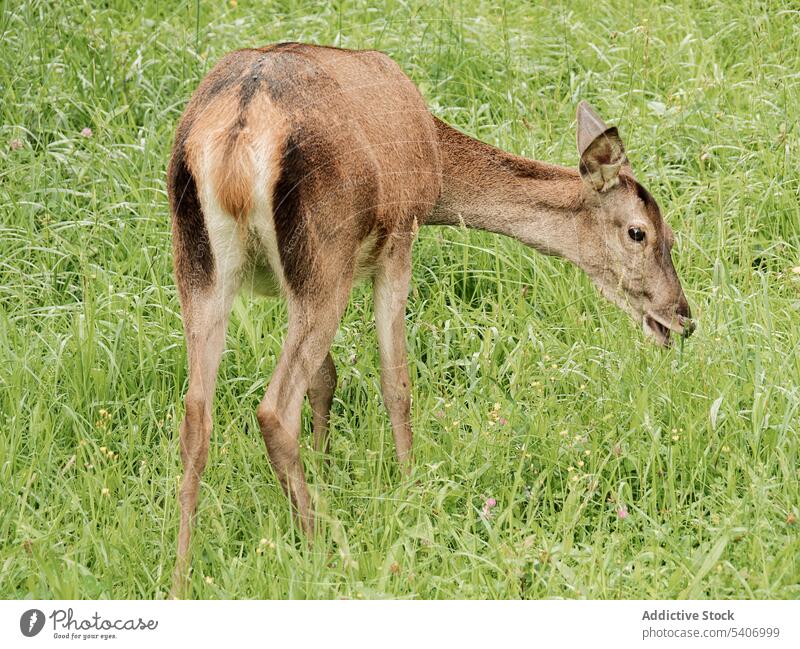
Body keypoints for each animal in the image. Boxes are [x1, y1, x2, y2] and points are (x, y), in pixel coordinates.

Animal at [169, 43, 692, 596]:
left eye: (670, 234)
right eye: (640, 232)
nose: (682, 317)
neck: (437, 163)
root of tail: (239, 127)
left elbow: (326, 377)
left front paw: (328, 473)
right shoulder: (400, 234)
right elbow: (395, 381)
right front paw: (410, 491)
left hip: (199, 262)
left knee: (196, 414)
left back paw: (182, 572)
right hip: (323, 255)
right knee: (272, 408)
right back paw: (317, 554)